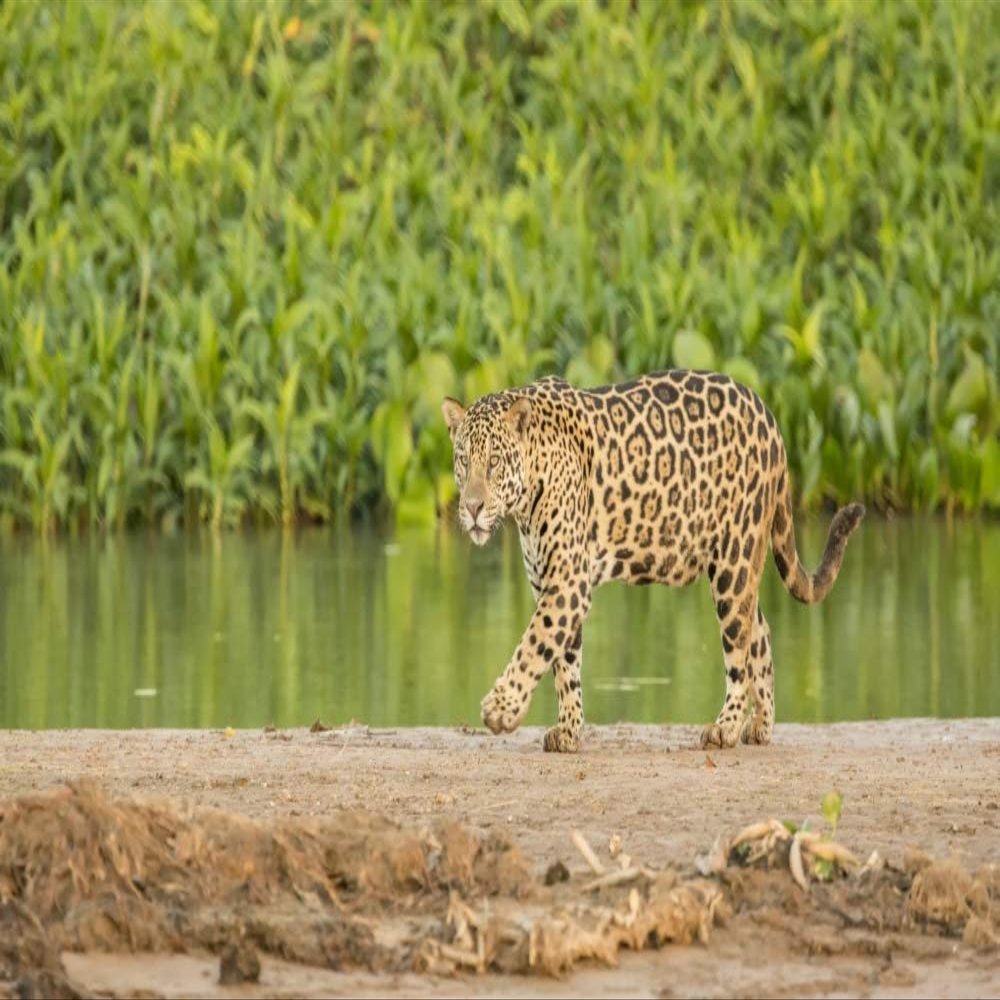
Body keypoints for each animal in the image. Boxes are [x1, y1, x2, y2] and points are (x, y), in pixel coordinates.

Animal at [441, 370, 865, 754]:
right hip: (739, 566)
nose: (472, 508)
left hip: (734, 559)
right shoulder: (551, 582)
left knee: (739, 645)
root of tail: (768, 414)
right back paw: (761, 725)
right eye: (462, 461)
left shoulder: (568, 583)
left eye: (494, 463)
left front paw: (501, 710)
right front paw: (569, 731)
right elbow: (565, 661)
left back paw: (726, 727)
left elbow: (534, 643)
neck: (527, 494)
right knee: (758, 629)